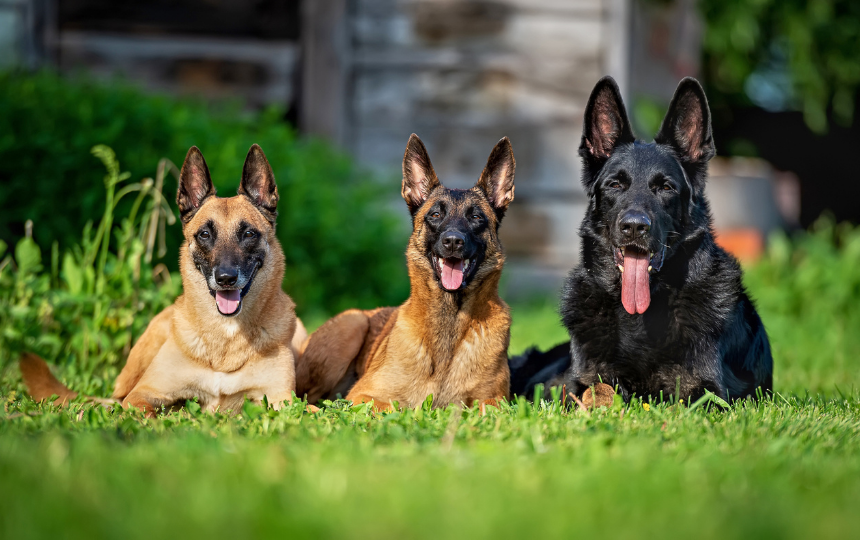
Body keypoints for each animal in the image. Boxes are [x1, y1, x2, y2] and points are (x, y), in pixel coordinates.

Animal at [17, 142, 310, 414]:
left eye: (248, 234)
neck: (225, 338)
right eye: (205, 235)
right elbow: (148, 414)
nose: (226, 278)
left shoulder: (284, 401)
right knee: (114, 399)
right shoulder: (143, 394)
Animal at [292, 134, 512, 410]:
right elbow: (393, 405)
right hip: (351, 324)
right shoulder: (362, 395)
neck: (449, 319)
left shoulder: (496, 401)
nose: (453, 242)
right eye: (435, 214)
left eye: (476, 218)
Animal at [510, 77, 772, 404]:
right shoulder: (576, 383)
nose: (634, 226)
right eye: (615, 184)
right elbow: (594, 388)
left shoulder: (709, 393)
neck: (638, 317)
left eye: (666, 187)